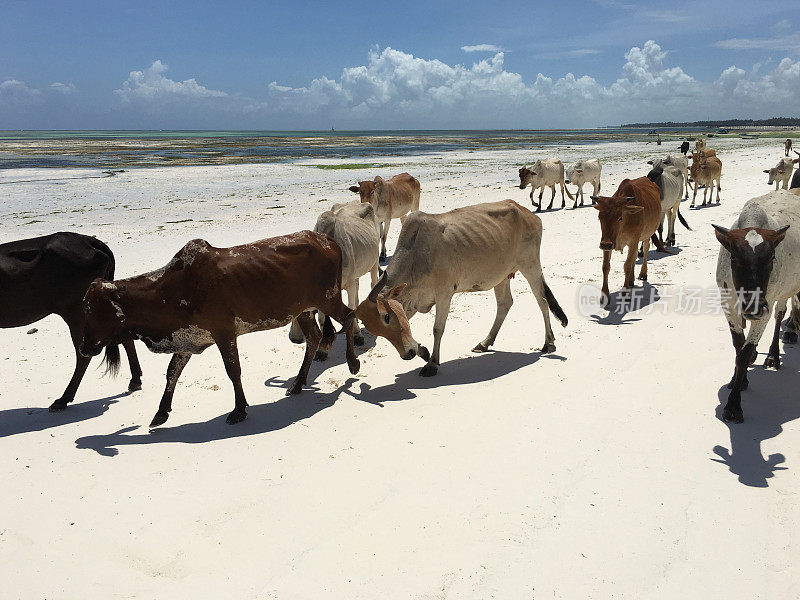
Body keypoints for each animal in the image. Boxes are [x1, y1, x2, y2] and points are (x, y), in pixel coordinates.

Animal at [0, 232, 142, 410]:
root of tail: (88, 240)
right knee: (125, 337)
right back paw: (135, 380)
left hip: (77, 312)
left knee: (84, 355)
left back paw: (64, 399)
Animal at [79, 233, 360, 426]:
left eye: (93, 310)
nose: (83, 347)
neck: (171, 289)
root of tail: (327, 240)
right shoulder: (187, 338)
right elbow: (172, 373)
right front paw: (161, 412)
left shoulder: (224, 332)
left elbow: (233, 370)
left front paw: (239, 409)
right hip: (304, 310)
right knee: (315, 337)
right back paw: (299, 383)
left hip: (328, 298)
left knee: (349, 316)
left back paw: (352, 363)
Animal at [290, 199, 382, 354]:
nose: (293, 339)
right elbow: (322, 318)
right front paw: (322, 350)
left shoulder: (349, 284)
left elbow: (350, 309)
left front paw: (357, 336)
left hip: (374, 262)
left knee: (372, 283)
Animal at [356, 202, 568, 380]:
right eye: (374, 328)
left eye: (386, 317)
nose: (407, 355)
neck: (416, 254)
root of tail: (527, 213)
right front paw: (422, 351)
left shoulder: (444, 294)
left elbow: (437, 329)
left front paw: (432, 363)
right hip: (502, 276)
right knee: (505, 304)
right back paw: (485, 343)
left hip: (531, 266)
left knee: (541, 301)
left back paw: (549, 342)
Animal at [716, 191, 800, 422]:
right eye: (734, 258)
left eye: (771, 258)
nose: (753, 308)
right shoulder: (728, 304)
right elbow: (739, 347)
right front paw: (739, 379)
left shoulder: (765, 308)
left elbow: (744, 353)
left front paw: (733, 405)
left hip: (785, 292)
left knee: (781, 313)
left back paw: (773, 354)